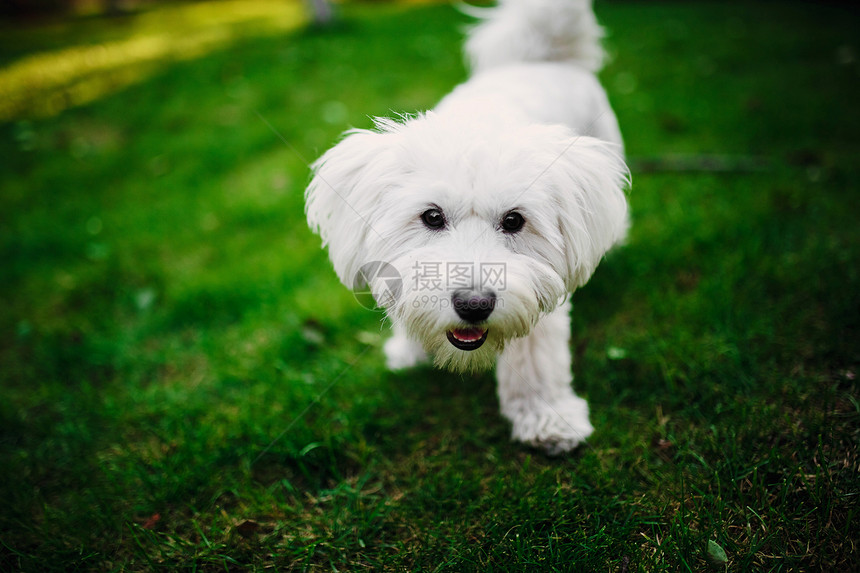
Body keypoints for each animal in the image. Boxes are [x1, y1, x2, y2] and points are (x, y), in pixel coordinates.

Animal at [306, 1, 628, 456]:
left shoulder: (539, 285)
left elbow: (536, 356)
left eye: (514, 220)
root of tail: (542, 56)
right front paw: (410, 349)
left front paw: (546, 417)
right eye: (432, 216)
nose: (474, 305)